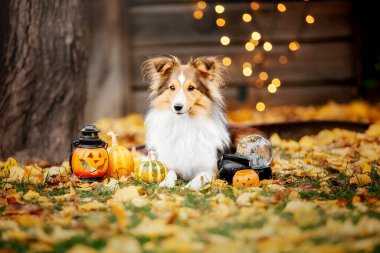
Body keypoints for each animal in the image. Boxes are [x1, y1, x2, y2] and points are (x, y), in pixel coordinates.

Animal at [142, 55, 230, 190]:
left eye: (191, 88)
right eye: (172, 88)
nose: (177, 107)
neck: (184, 123)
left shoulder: (211, 169)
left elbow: (200, 177)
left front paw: (189, 187)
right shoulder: (171, 164)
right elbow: (170, 173)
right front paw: (166, 183)